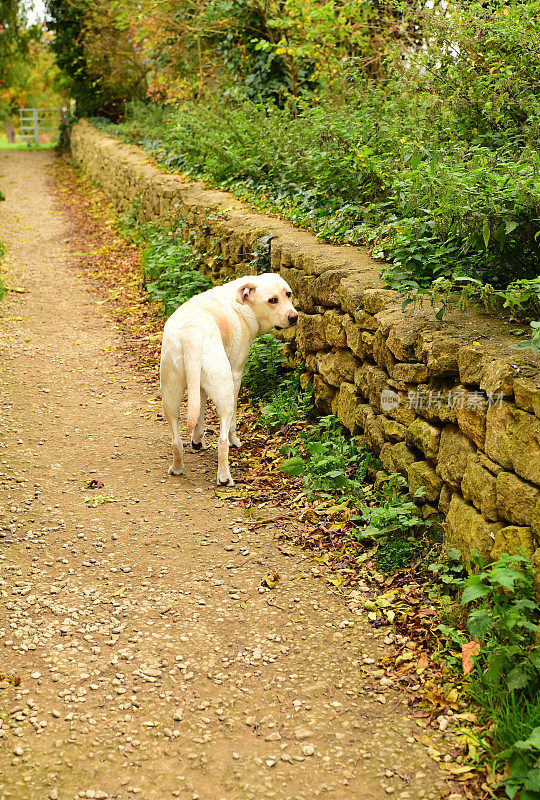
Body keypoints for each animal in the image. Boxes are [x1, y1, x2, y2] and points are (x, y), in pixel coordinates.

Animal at [159, 276, 300, 484]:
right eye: (272, 300)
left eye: (288, 294)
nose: (294, 317)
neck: (244, 304)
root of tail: (190, 335)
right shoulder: (236, 375)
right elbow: (232, 421)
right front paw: (235, 441)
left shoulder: (199, 386)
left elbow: (199, 412)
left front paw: (197, 440)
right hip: (224, 390)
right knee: (222, 439)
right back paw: (224, 477)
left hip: (169, 396)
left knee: (176, 440)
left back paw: (177, 468)